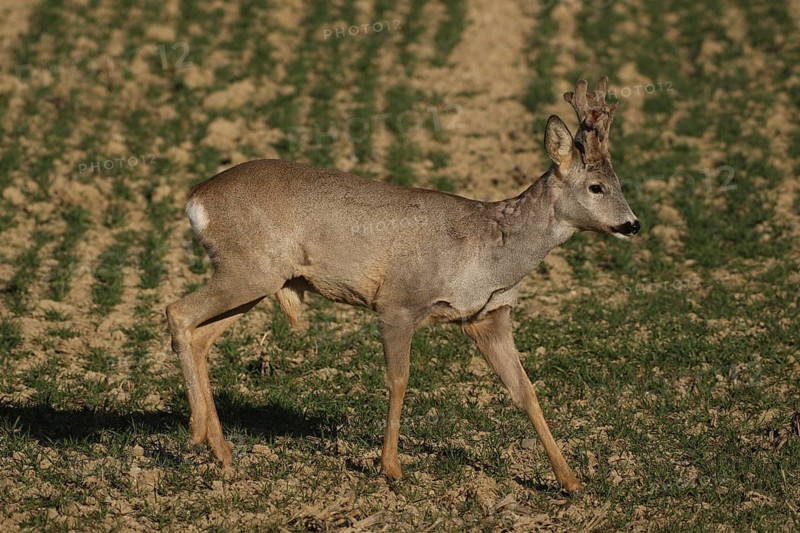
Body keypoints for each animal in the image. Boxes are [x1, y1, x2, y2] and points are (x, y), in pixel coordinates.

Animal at [166, 77, 639, 494]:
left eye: (620, 183)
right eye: (595, 186)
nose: (633, 224)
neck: (489, 252)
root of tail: (195, 198)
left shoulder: (489, 316)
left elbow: (525, 390)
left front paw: (571, 481)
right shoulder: (398, 302)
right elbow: (399, 380)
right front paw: (391, 468)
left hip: (258, 279)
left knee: (201, 336)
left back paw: (221, 449)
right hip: (247, 269)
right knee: (177, 312)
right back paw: (195, 433)